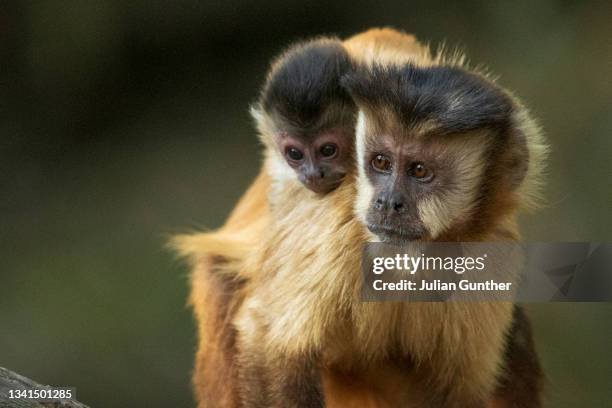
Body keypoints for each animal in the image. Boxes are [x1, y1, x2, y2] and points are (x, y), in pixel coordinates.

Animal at [177, 27, 544, 406]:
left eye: (419, 171)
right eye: (381, 162)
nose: (387, 202)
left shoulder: (491, 252)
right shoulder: (341, 220)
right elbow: (270, 343)